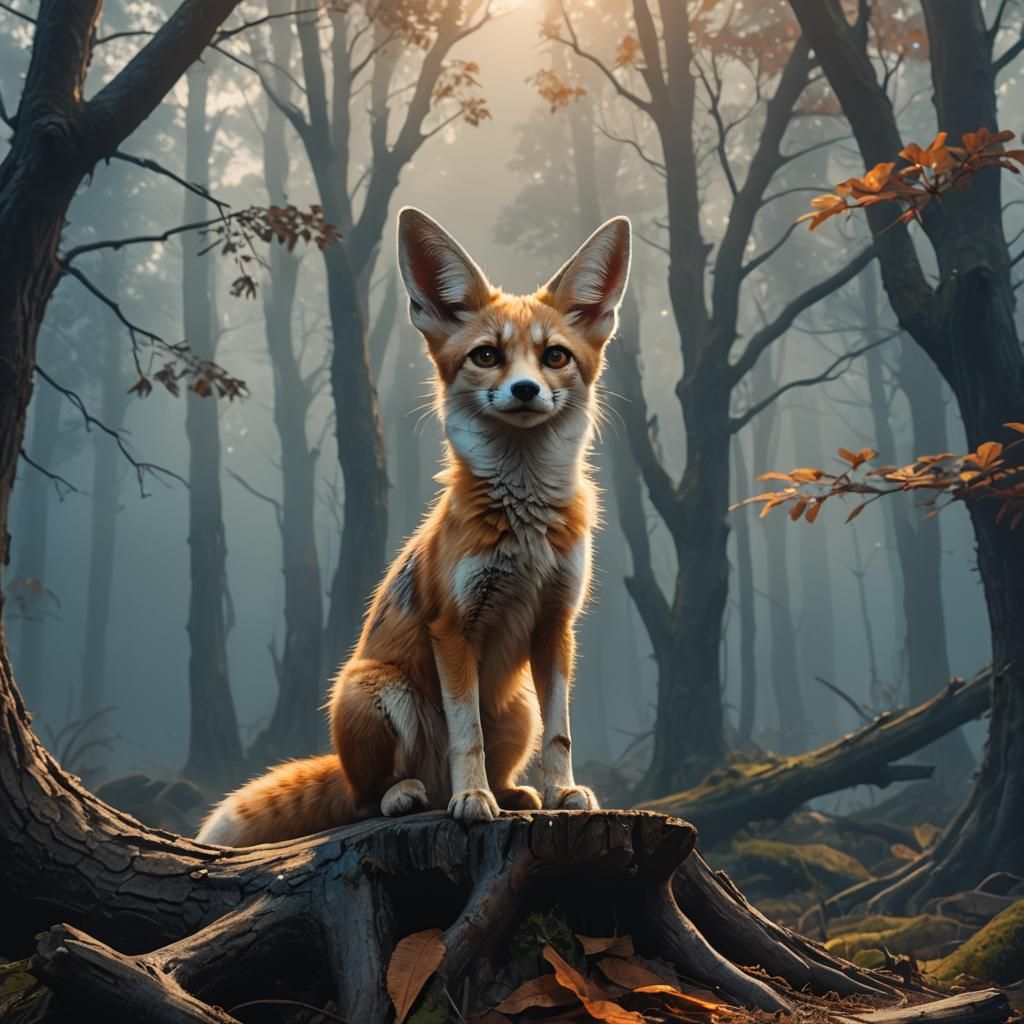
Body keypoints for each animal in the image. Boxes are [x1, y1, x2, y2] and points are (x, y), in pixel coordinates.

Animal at [196, 207, 631, 846]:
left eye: (555, 357)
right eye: (486, 356)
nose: (526, 389)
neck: (524, 524)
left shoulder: (557, 625)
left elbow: (561, 733)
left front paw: (562, 793)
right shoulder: (452, 628)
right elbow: (466, 735)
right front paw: (472, 800)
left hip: (518, 706)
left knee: (492, 761)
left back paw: (511, 792)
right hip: (376, 689)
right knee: (366, 800)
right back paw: (414, 795)